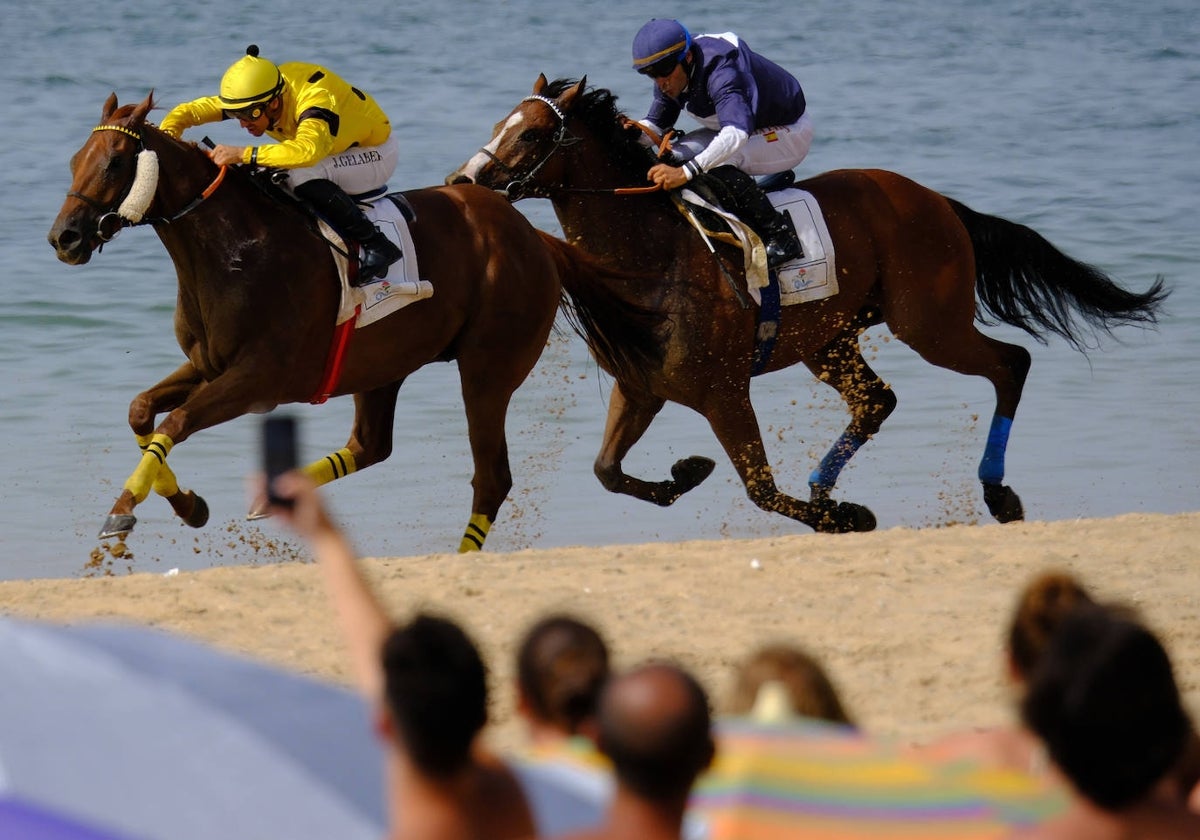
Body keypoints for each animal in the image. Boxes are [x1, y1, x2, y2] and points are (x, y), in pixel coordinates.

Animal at [46, 91, 662, 552]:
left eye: (115, 162)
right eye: (74, 159)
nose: (64, 238)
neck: (231, 248)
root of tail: (532, 235)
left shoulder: (258, 379)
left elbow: (174, 423)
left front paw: (122, 513)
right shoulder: (209, 364)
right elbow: (141, 411)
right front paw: (189, 504)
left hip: (487, 370)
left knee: (492, 476)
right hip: (384, 363)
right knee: (371, 445)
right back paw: (275, 497)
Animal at [446, 73, 1166, 530]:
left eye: (531, 135)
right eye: (499, 123)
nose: (463, 179)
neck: (649, 257)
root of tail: (935, 200)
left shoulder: (724, 391)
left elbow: (761, 489)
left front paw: (845, 519)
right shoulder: (642, 386)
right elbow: (605, 471)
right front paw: (688, 471)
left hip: (929, 323)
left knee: (1010, 363)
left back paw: (995, 491)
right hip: (831, 339)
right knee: (878, 400)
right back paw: (827, 481)